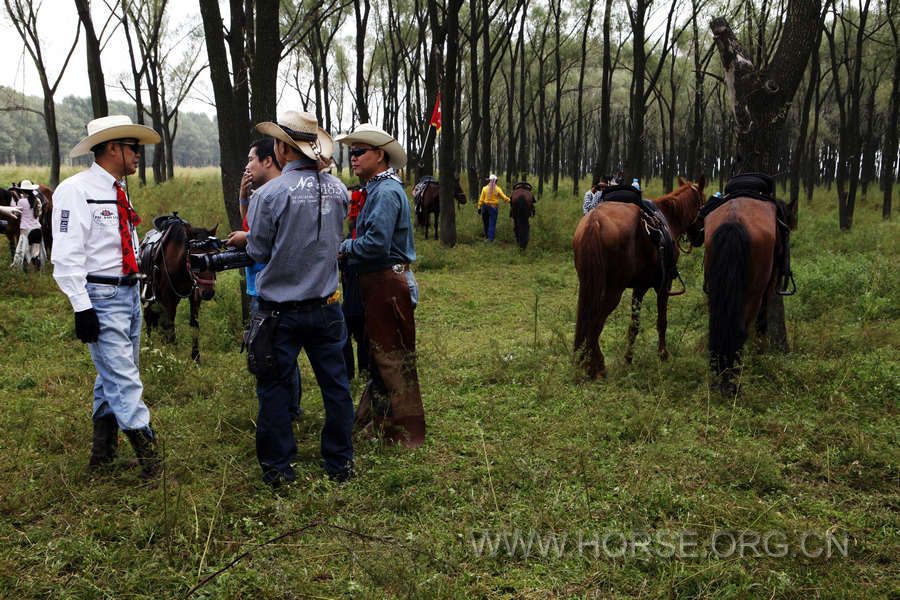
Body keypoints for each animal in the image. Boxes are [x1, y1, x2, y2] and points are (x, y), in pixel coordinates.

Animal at [141, 216, 220, 366]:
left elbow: (194, 325)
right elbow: (170, 326)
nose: (208, 293)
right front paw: (172, 358)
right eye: (194, 259)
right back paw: (149, 348)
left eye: (216, 256)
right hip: (149, 297)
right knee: (148, 318)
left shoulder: (195, 295)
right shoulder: (168, 299)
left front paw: (196, 358)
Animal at [572, 176, 708, 378]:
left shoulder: (639, 287)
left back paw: (584, 361)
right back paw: (597, 367)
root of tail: (594, 221)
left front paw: (628, 358)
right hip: (613, 290)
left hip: (588, 283)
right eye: (704, 203)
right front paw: (663, 354)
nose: (701, 238)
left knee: (587, 321)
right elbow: (662, 321)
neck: (670, 218)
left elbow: (634, 325)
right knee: (595, 324)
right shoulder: (663, 284)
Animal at [700, 172, 800, 394]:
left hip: (717, 288)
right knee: (740, 330)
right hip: (753, 292)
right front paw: (760, 353)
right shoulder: (769, 284)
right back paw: (732, 382)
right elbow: (762, 321)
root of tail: (733, 220)